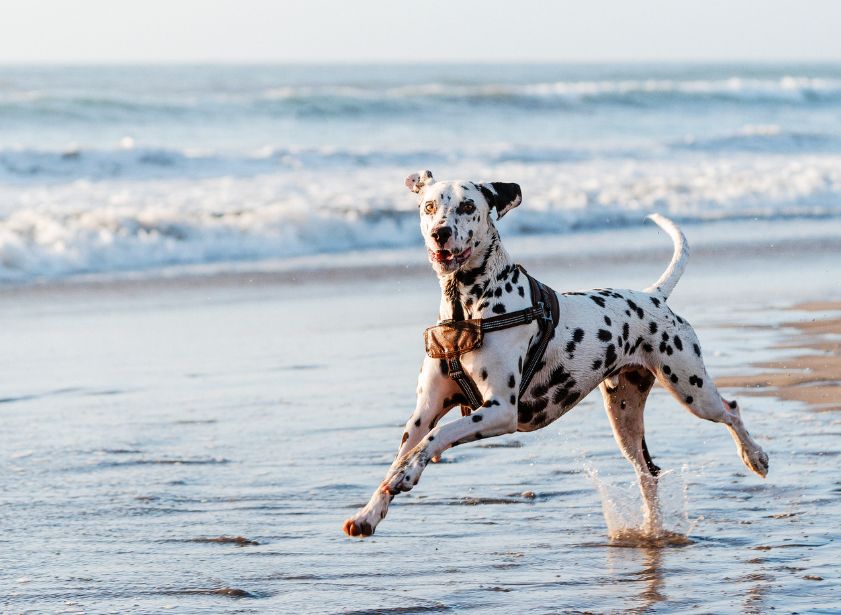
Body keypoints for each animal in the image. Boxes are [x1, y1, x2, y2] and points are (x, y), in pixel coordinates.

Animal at [342, 171, 768, 536]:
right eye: (429, 206)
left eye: (467, 206)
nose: (440, 233)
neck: (467, 308)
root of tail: (653, 296)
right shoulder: (424, 411)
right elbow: (404, 452)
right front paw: (370, 512)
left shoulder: (500, 410)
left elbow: (438, 437)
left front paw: (408, 474)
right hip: (625, 417)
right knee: (648, 472)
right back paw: (651, 529)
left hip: (691, 388)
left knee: (731, 410)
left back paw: (755, 457)